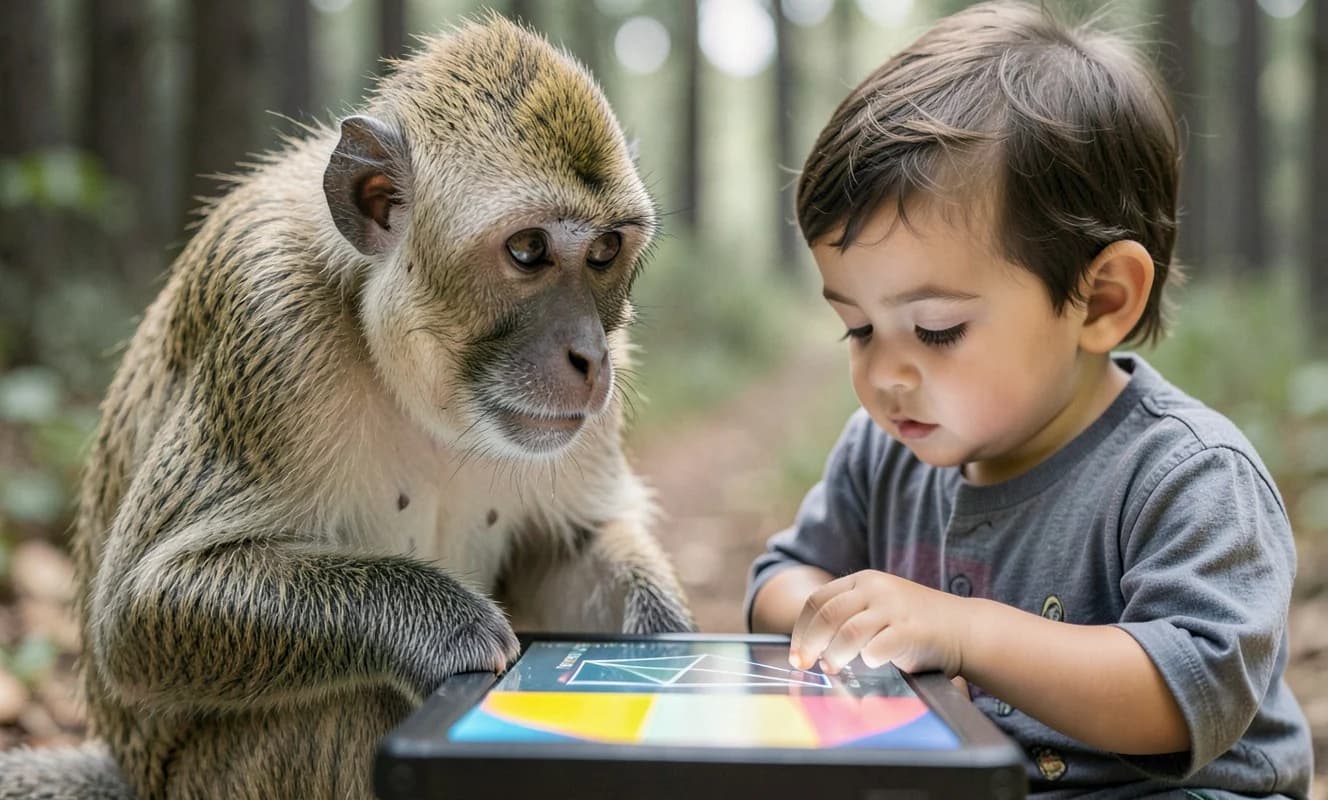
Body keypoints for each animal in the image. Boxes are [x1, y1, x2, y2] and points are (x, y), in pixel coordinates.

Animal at [0, 14, 694, 800]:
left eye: (605, 250)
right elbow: (140, 610)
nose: (591, 357)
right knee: (355, 706)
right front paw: (447, 626)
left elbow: (562, 547)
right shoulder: (271, 323)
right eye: (527, 248)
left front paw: (663, 635)